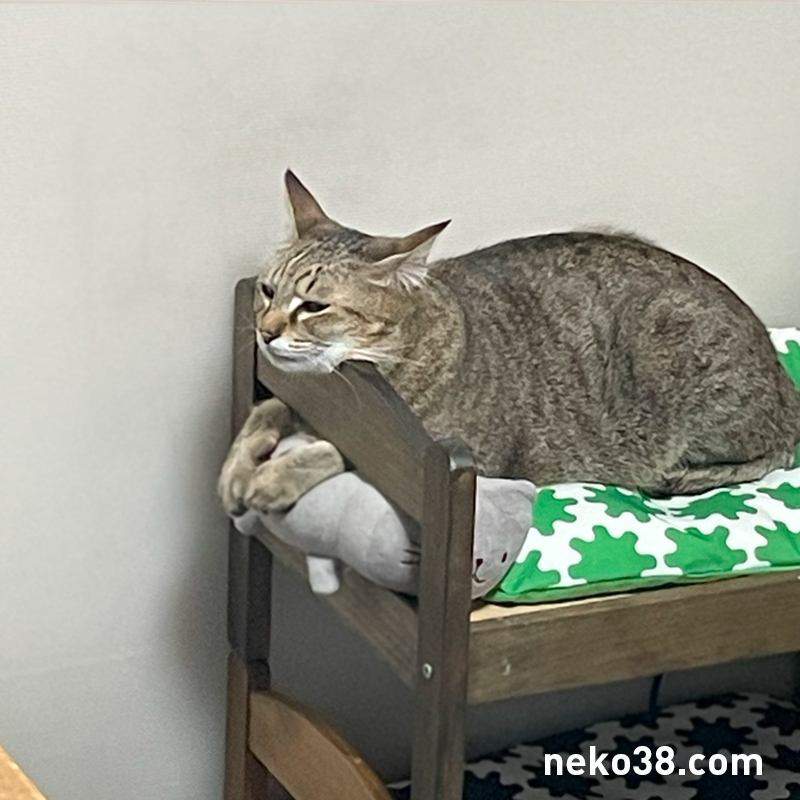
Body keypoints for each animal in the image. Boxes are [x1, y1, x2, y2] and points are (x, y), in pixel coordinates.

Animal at [219, 170, 800, 515]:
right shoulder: (297, 399)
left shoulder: (471, 454)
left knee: (773, 452)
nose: (265, 331)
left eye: (313, 307)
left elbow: (346, 451)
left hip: (672, 344)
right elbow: (265, 411)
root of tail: (784, 379)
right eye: (267, 291)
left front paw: (273, 480)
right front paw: (237, 466)